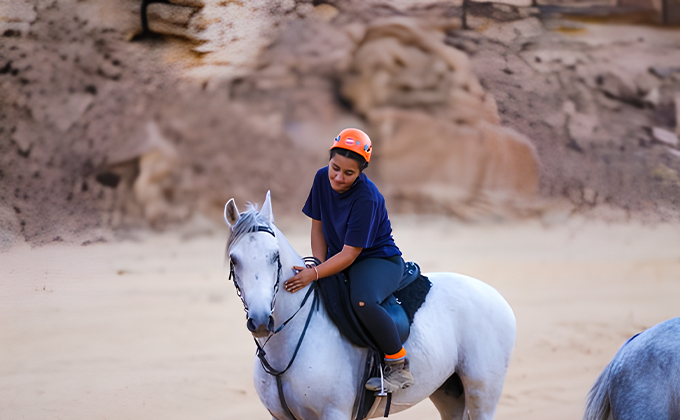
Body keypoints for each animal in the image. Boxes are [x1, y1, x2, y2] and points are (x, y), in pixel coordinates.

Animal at [223, 191, 516, 420]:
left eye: (275, 256)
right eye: (234, 259)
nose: (261, 321)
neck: (288, 345)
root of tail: (495, 295)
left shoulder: (335, 413)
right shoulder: (279, 416)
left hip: (482, 392)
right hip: (448, 390)